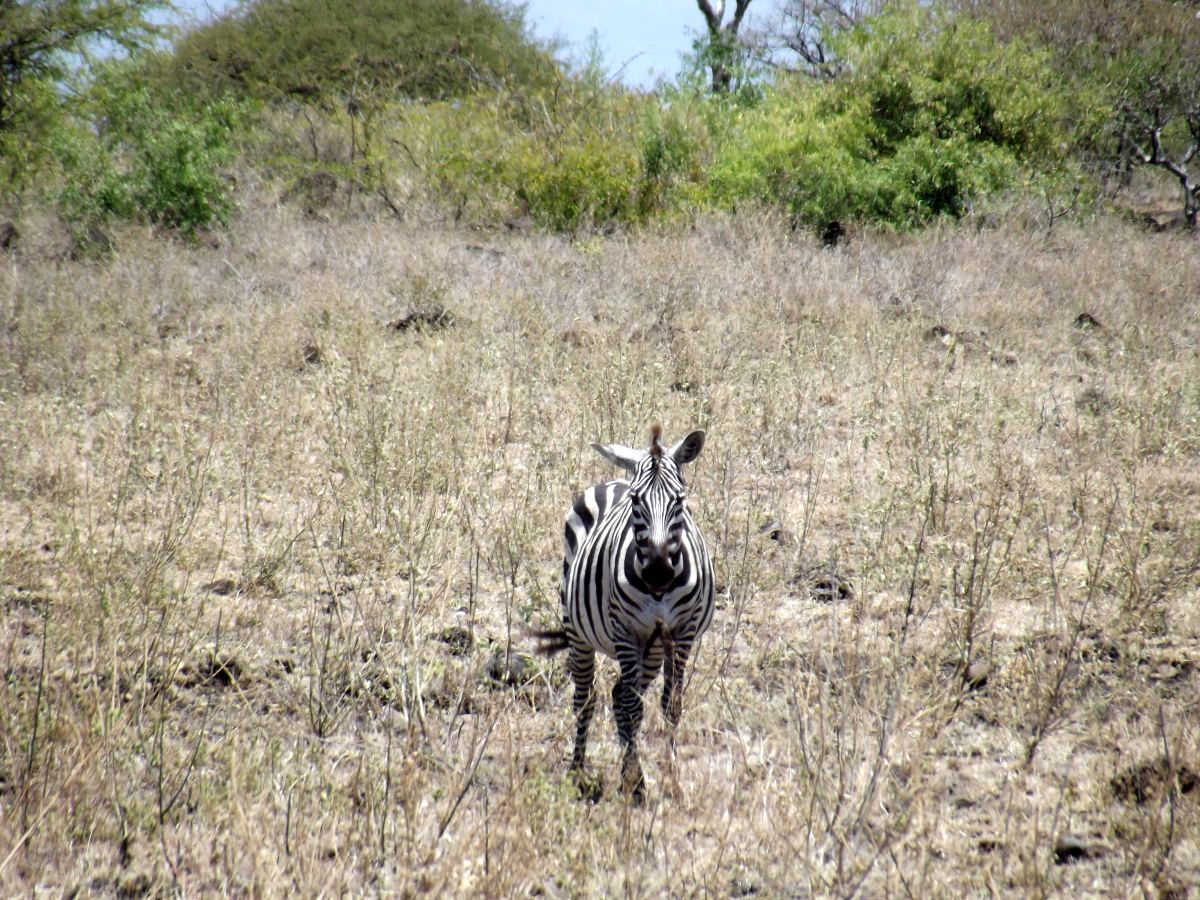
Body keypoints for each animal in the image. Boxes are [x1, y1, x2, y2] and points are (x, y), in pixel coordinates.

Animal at [535, 427, 710, 801]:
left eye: (680, 500)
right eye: (636, 501)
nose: (658, 572)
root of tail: (614, 479)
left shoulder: (683, 631)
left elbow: (670, 705)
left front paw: (670, 780)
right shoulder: (626, 629)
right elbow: (632, 707)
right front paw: (635, 783)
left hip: (654, 646)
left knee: (618, 696)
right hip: (578, 631)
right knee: (587, 699)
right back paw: (578, 774)